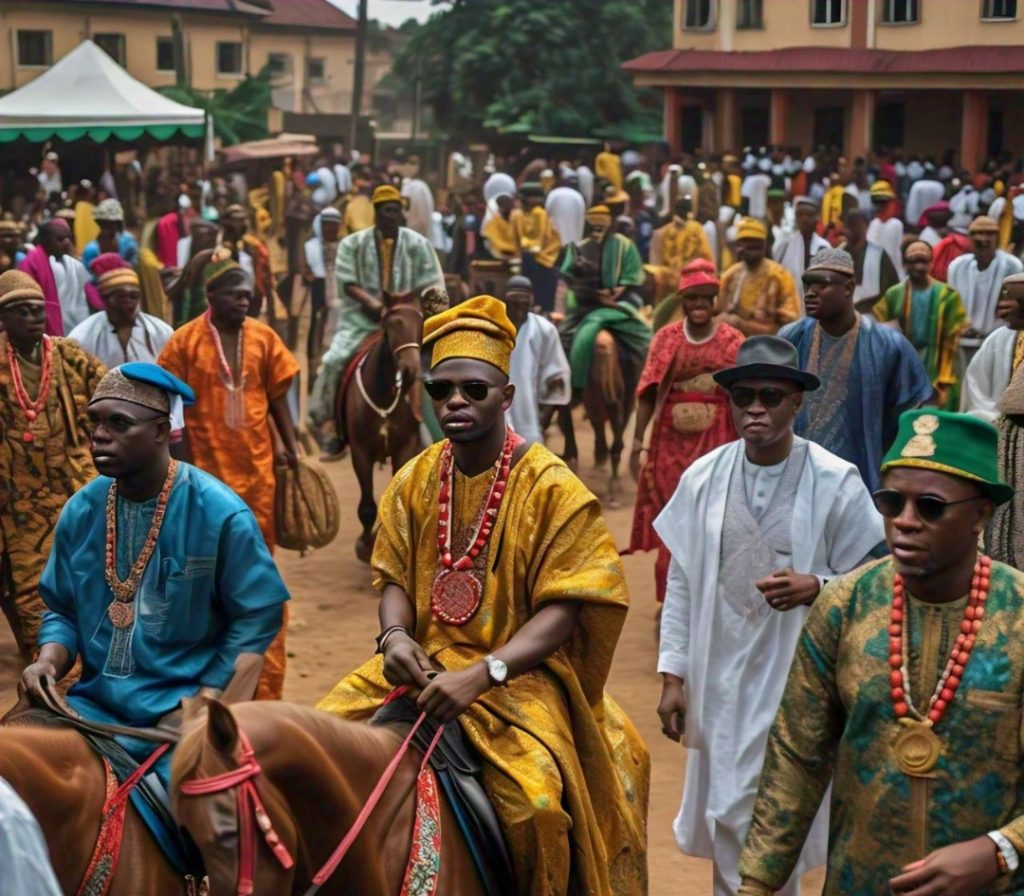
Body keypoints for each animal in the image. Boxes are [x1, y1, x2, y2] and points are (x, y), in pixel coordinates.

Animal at [337, 299, 425, 561]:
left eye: (420, 323)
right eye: (392, 324)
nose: (410, 369)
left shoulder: (404, 448)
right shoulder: (360, 452)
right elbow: (367, 506)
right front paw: (365, 546)